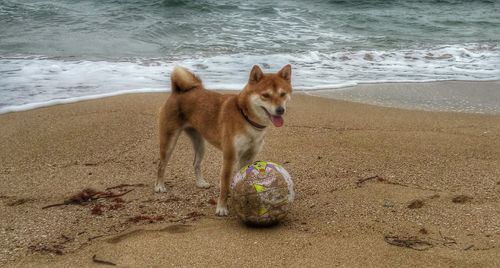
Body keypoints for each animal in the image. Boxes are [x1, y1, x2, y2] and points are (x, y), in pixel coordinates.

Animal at [156, 64, 292, 216]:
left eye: (283, 94)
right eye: (266, 95)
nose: (280, 110)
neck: (245, 117)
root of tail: (177, 91)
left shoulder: (248, 156)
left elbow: (245, 178)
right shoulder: (229, 156)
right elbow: (225, 184)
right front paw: (221, 207)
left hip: (200, 144)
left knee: (196, 163)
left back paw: (200, 183)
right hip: (169, 141)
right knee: (161, 164)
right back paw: (160, 186)